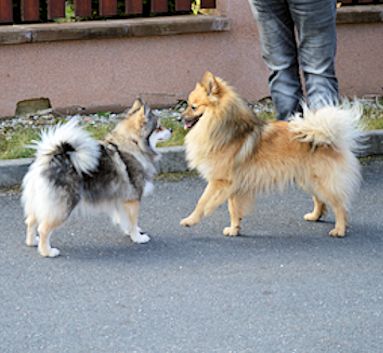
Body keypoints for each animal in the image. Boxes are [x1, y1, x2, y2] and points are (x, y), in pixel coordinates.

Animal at [21, 97, 171, 258]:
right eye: (159, 127)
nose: (172, 130)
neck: (133, 143)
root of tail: (49, 158)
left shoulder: (121, 199)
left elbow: (125, 220)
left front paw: (130, 232)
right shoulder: (133, 200)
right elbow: (133, 221)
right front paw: (138, 237)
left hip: (41, 202)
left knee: (30, 221)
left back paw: (32, 242)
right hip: (62, 207)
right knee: (43, 229)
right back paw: (47, 251)